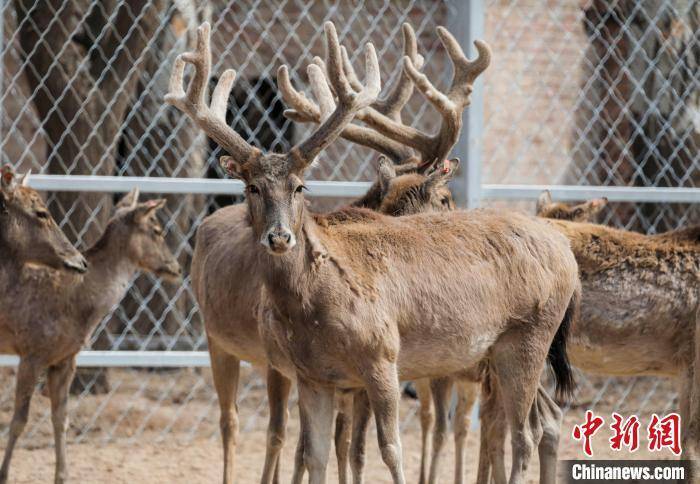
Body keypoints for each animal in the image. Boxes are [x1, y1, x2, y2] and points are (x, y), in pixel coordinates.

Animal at [0, 189, 180, 484]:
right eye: (156, 230)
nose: (177, 268)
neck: (81, 308)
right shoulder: (32, 351)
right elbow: (19, 421)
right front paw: (4, 474)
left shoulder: (65, 358)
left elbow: (61, 418)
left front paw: (62, 476)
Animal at [170, 20, 580, 482]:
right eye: (251, 188)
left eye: (300, 187)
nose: (279, 238)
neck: (313, 305)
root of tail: (566, 253)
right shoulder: (314, 376)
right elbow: (316, 453)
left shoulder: (382, 355)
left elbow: (388, 449)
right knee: (544, 420)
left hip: (529, 336)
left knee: (524, 434)